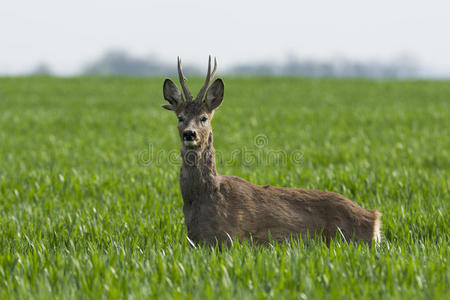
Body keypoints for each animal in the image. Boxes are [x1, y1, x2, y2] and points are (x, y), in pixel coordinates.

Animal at [160, 56, 382, 246]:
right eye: (180, 117)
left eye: (204, 118)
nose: (190, 134)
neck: (204, 196)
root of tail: (374, 218)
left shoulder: (228, 238)